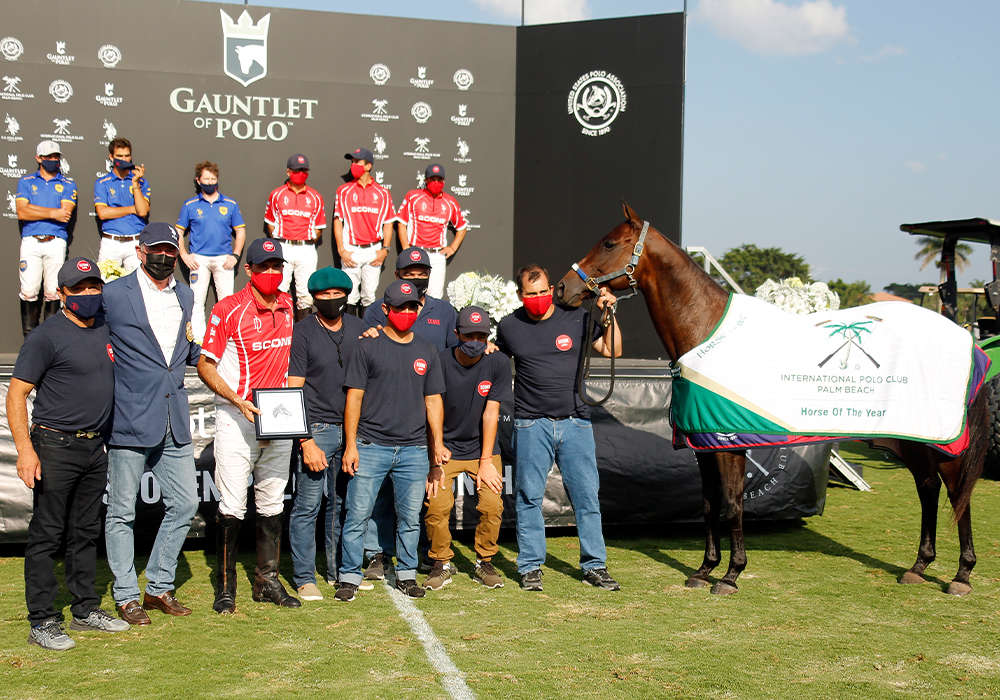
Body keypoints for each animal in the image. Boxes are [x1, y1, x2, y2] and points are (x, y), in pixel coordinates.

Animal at [560, 202, 988, 596]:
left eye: (609, 243)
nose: (564, 289)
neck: (705, 329)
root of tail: (967, 340)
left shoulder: (729, 444)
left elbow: (733, 504)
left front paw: (731, 575)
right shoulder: (704, 446)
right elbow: (709, 504)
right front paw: (704, 570)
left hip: (944, 442)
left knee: (957, 493)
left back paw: (961, 575)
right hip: (911, 439)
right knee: (928, 487)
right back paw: (919, 566)